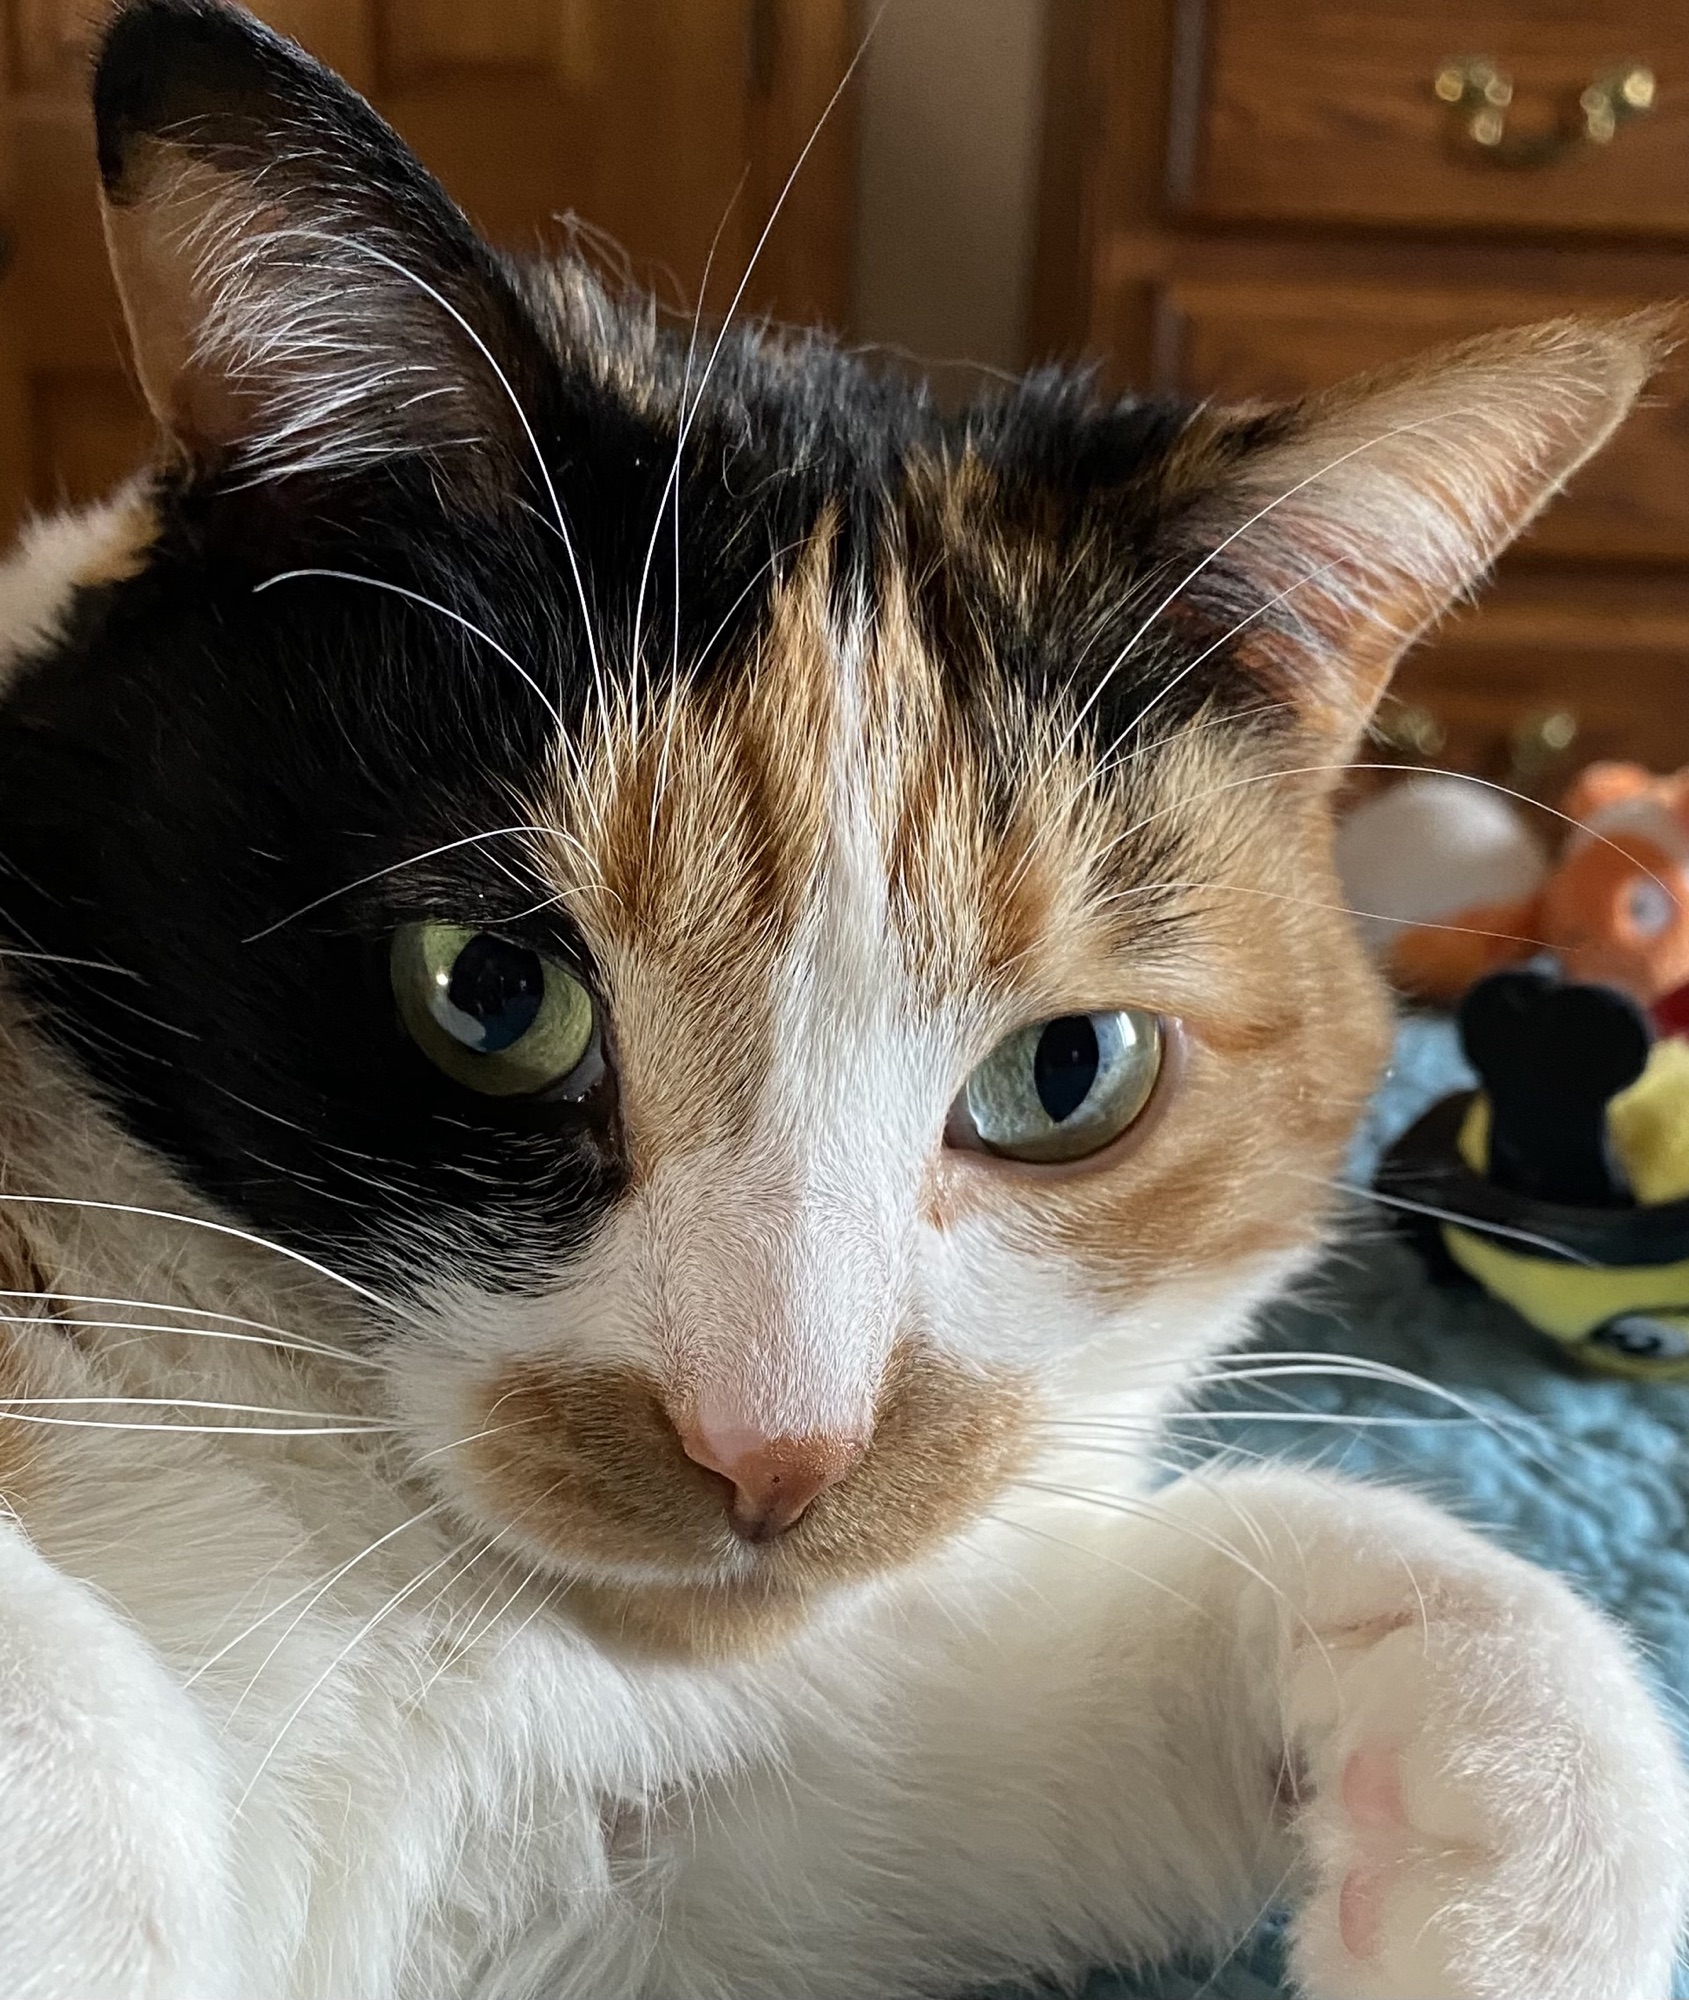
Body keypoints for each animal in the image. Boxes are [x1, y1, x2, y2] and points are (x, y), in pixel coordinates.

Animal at [0, 3, 1677, 1995]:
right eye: (489, 994)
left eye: (1068, 1072)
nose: (776, 1455)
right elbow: (61, 1719)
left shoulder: (658, 1858)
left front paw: (1504, 1897)